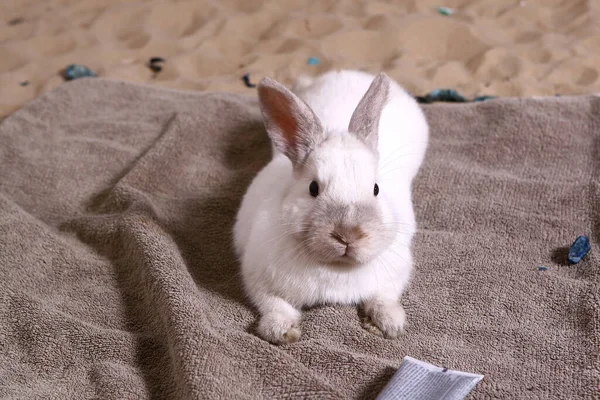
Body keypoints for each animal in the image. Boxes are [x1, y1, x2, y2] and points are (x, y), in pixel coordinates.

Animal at [232, 69, 428, 344]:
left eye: (376, 189)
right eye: (313, 188)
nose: (348, 235)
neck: (337, 269)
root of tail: (351, 73)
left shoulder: (394, 275)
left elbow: (384, 298)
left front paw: (389, 324)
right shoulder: (257, 277)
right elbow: (273, 304)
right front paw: (282, 331)